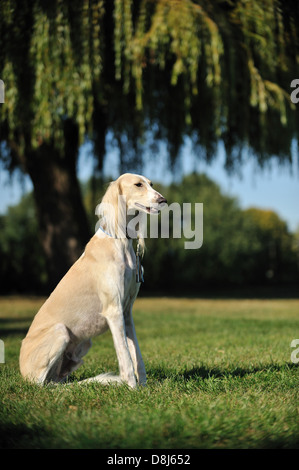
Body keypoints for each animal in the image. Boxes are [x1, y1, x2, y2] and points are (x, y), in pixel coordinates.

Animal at [19, 174, 168, 388]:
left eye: (151, 184)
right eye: (138, 184)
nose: (163, 200)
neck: (119, 241)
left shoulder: (126, 311)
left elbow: (136, 355)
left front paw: (144, 387)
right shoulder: (114, 311)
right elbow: (125, 356)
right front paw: (132, 388)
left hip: (81, 345)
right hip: (60, 331)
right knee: (43, 385)